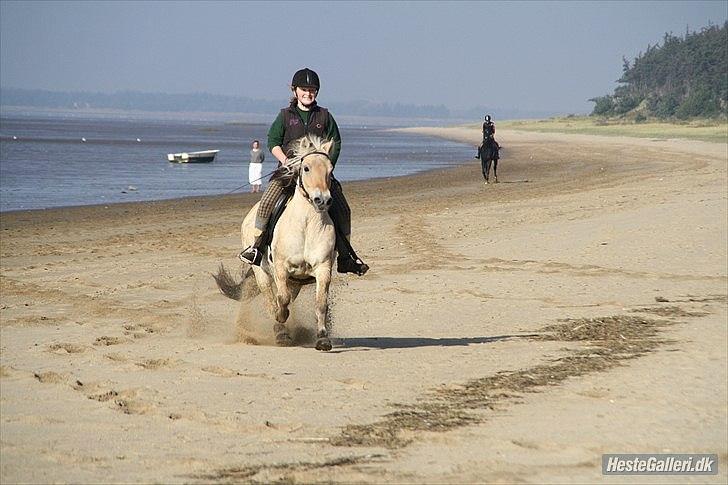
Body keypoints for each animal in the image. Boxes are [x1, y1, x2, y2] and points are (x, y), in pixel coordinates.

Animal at [215, 134, 336, 350]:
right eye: (306, 168)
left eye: (330, 170)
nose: (322, 200)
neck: (306, 224)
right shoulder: (281, 267)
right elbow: (281, 299)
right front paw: (280, 320)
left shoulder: (323, 268)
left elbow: (321, 303)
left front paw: (323, 339)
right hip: (261, 273)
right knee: (270, 299)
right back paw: (279, 333)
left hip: (296, 281)